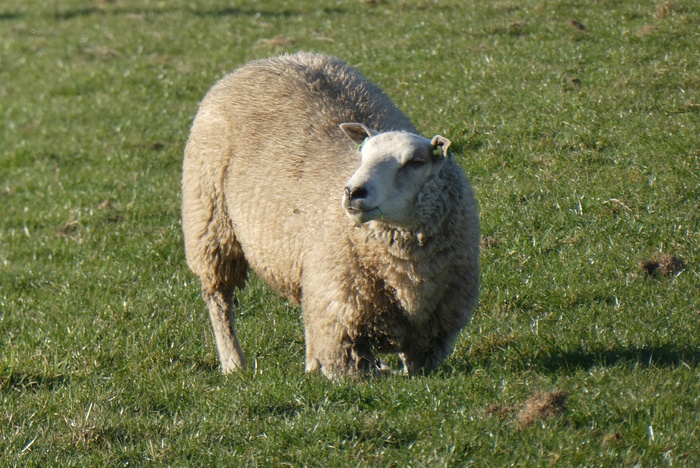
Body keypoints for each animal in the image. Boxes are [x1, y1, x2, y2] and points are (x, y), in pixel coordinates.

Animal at [180, 52, 478, 380]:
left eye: (415, 162)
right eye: (362, 154)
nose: (353, 192)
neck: (407, 276)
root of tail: (267, 60)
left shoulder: (432, 337)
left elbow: (413, 369)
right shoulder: (342, 324)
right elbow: (354, 371)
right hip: (210, 222)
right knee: (219, 299)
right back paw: (234, 362)